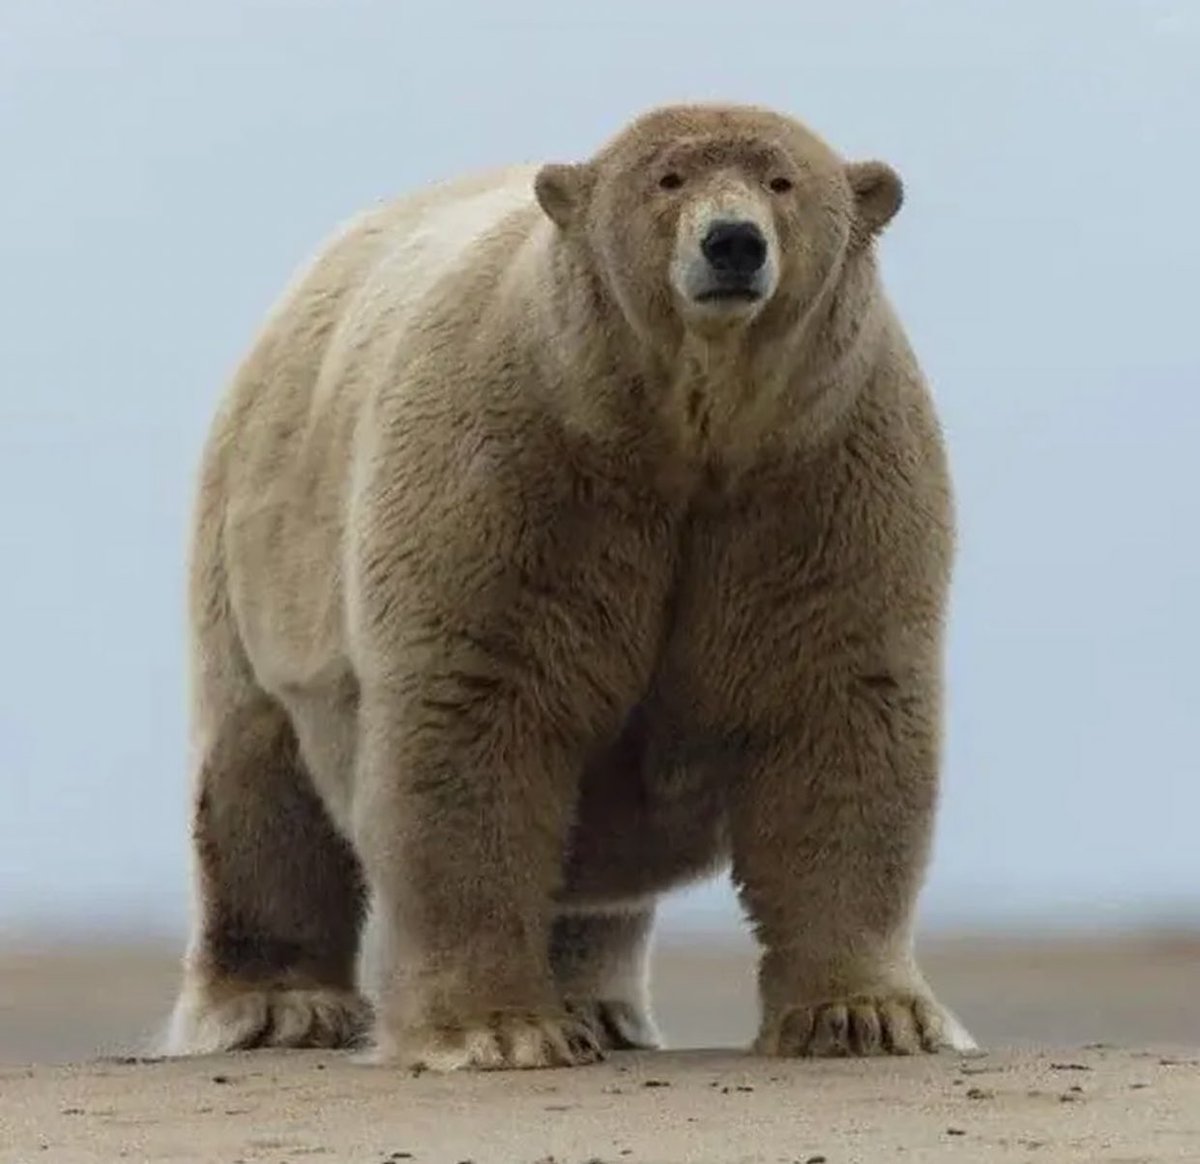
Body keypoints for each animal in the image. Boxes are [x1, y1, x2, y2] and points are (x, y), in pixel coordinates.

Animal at [164, 104, 974, 1065]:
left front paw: (869, 1017)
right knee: (259, 776)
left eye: (782, 180)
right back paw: (280, 1007)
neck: (684, 437)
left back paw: (600, 1006)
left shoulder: (822, 475)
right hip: (258, 548)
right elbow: (479, 712)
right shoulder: (517, 465)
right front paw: (498, 1029)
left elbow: (838, 710)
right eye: (666, 179)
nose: (733, 243)